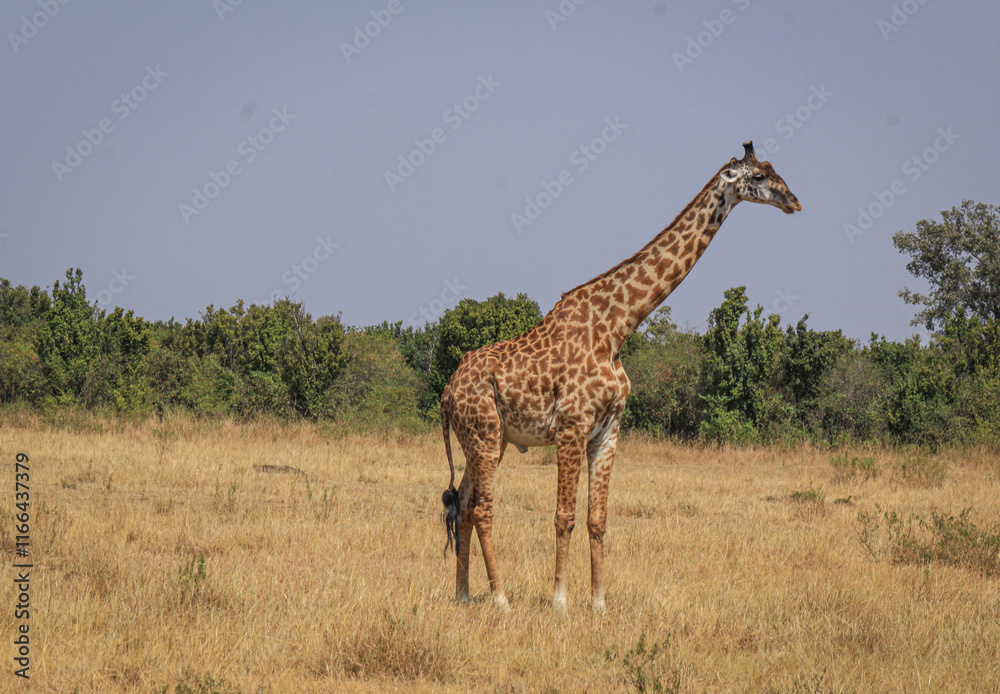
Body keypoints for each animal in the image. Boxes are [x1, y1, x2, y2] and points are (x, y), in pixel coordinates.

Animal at [440, 141, 800, 613]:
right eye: (758, 176)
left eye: (775, 169)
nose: (794, 201)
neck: (616, 327)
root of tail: (447, 391)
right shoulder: (572, 425)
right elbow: (564, 516)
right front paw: (559, 601)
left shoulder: (608, 430)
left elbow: (597, 518)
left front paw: (599, 603)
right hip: (484, 434)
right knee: (482, 508)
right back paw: (499, 598)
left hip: (488, 439)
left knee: (463, 504)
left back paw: (463, 594)